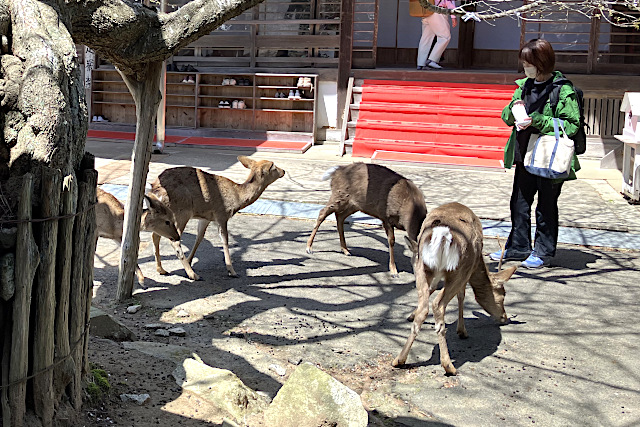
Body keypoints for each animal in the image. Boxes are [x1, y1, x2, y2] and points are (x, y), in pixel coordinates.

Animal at [148, 155, 285, 280]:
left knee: (155, 235)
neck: (237, 197)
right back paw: (193, 275)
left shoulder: (206, 217)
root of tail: (155, 189)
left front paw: (190, 260)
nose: (283, 171)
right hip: (181, 212)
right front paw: (231, 271)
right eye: (273, 166)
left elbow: (199, 237)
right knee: (173, 240)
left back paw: (161, 269)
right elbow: (225, 240)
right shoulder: (222, 214)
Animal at [392, 202, 517, 375]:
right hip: (459, 268)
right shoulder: (467, 271)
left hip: (422, 265)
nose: (504, 317)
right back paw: (448, 365)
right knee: (438, 305)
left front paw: (410, 315)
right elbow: (461, 296)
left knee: (425, 307)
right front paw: (462, 331)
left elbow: (432, 289)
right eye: (502, 294)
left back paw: (399, 359)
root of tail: (442, 235)